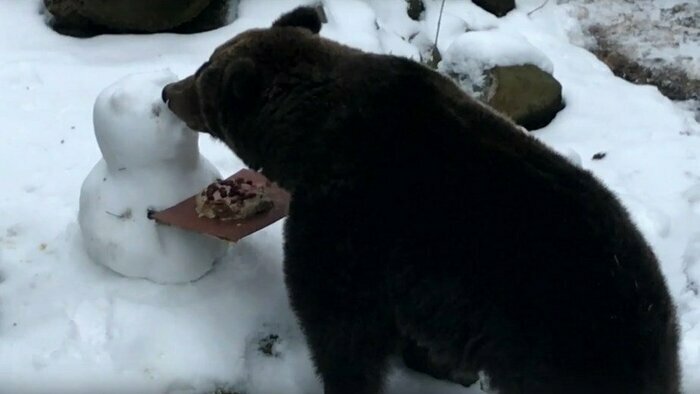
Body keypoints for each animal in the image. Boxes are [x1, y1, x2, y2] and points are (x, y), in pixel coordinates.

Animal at [163, 6, 680, 394]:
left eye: (203, 71)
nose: (169, 90)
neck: (310, 139)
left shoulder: (349, 227)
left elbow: (340, 328)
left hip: (560, 348)